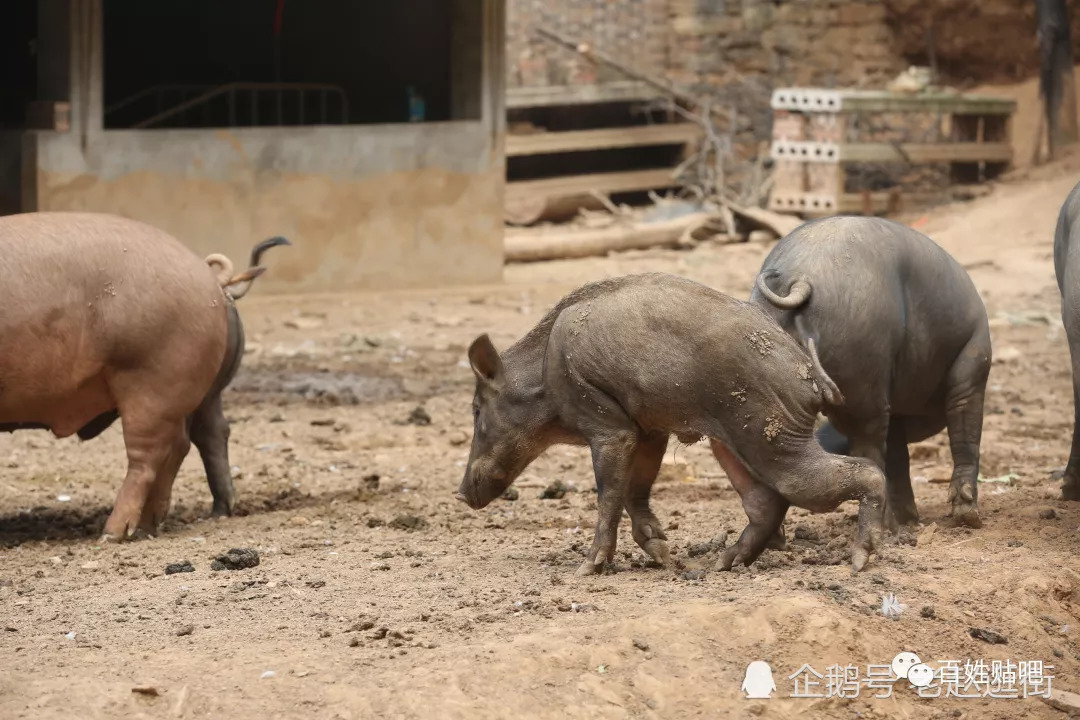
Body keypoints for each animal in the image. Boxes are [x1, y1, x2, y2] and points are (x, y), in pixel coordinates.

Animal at [0, 211, 289, 537]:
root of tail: (209, 277)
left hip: (150, 375)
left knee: (151, 453)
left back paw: (113, 533)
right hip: (198, 391)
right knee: (206, 435)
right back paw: (189, 517)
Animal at [455, 272, 885, 574]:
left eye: (476, 409)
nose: (459, 495)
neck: (545, 377)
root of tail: (810, 375)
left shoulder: (609, 428)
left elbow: (609, 494)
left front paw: (587, 569)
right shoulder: (649, 430)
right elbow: (634, 490)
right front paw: (663, 555)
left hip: (772, 435)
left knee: (862, 474)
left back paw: (858, 562)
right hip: (735, 441)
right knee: (766, 502)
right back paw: (722, 564)